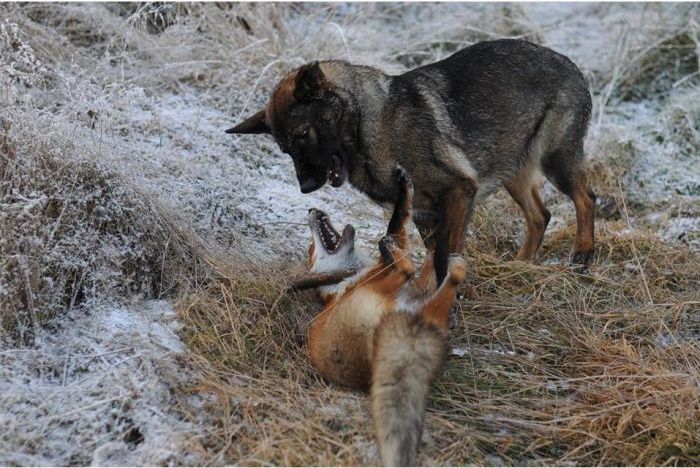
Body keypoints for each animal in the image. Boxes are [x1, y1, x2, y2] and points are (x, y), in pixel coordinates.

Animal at [231, 39, 596, 282]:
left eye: (304, 134)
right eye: (285, 149)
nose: (306, 187)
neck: (373, 126)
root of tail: (570, 64)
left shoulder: (459, 191)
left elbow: (446, 256)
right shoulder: (423, 212)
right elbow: (431, 251)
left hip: (554, 161)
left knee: (586, 198)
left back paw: (582, 255)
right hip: (513, 171)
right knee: (540, 216)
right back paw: (519, 265)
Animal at [302, 168, 462, 464]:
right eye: (310, 251)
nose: (310, 209)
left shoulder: (409, 282)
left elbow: (402, 224)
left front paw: (405, 189)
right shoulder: (381, 277)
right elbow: (396, 228)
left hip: (423, 311)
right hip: (389, 296)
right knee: (408, 267)